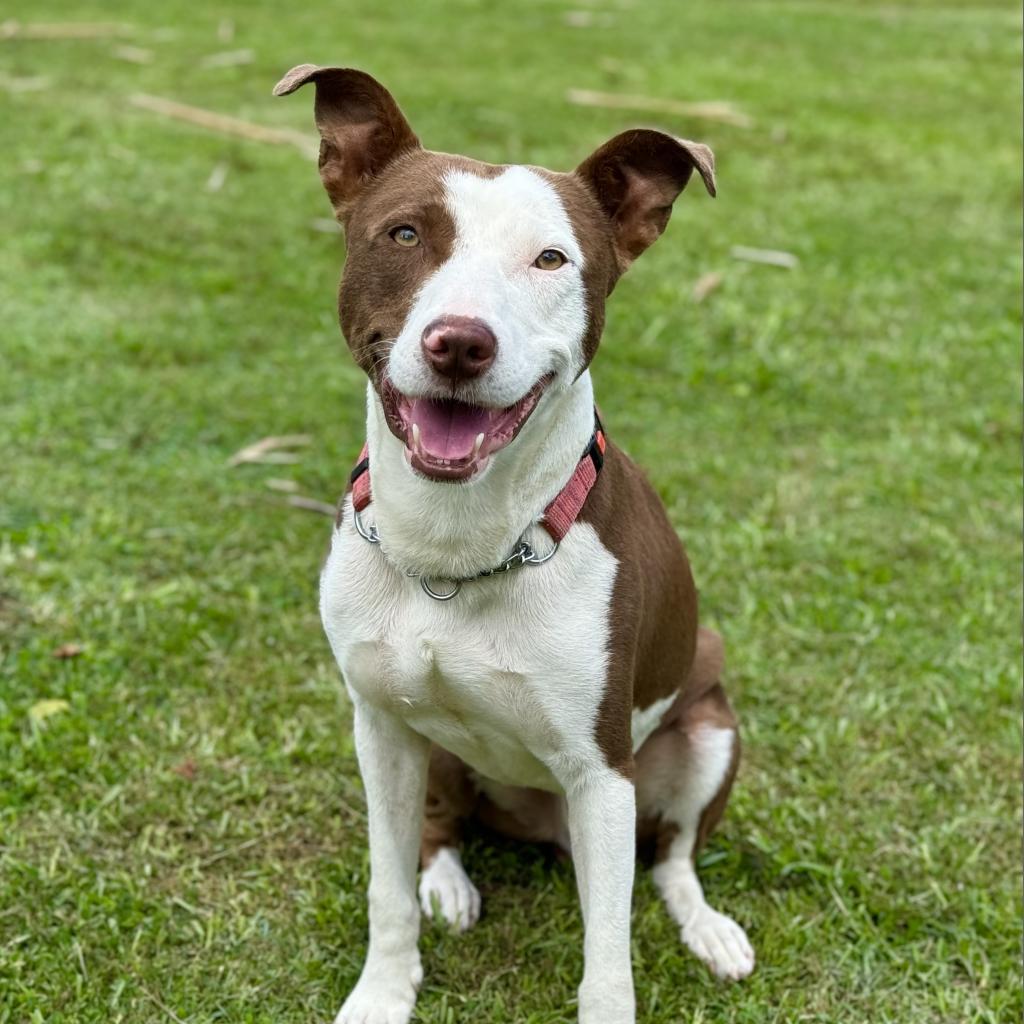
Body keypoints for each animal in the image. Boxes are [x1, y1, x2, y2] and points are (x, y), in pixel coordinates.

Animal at [276, 66, 757, 1024]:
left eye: (552, 260)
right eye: (406, 232)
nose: (459, 342)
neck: (455, 550)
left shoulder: (602, 774)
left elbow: (608, 956)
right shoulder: (381, 728)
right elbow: (386, 888)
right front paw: (383, 992)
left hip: (708, 731)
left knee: (672, 858)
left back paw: (709, 929)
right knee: (439, 830)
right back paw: (448, 884)